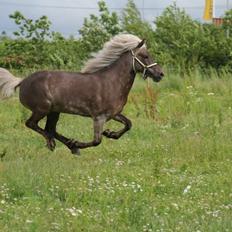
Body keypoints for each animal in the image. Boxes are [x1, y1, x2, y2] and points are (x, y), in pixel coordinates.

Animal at [0, 33, 163, 155]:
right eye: (145, 56)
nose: (160, 74)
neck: (112, 82)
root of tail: (22, 81)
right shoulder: (99, 117)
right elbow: (97, 141)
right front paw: (81, 142)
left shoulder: (113, 114)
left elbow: (128, 124)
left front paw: (110, 133)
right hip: (42, 109)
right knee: (32, 124)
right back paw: (54, 143)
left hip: (54, 111)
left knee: (50, 129)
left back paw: (70, 145)